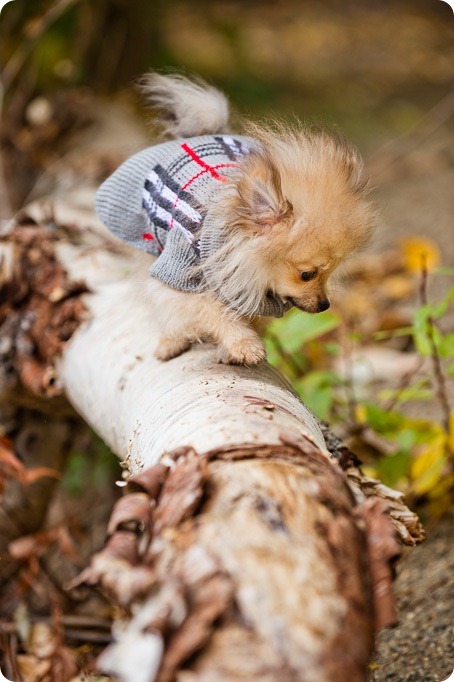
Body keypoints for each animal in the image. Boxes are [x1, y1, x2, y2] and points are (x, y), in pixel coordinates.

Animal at [94, 71, 374, 364]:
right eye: (306, 274)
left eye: (330, 272)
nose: (324, 305)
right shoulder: (179, 275)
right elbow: (209, 309)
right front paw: (243, 343)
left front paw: (234, 347)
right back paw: (171, 341)